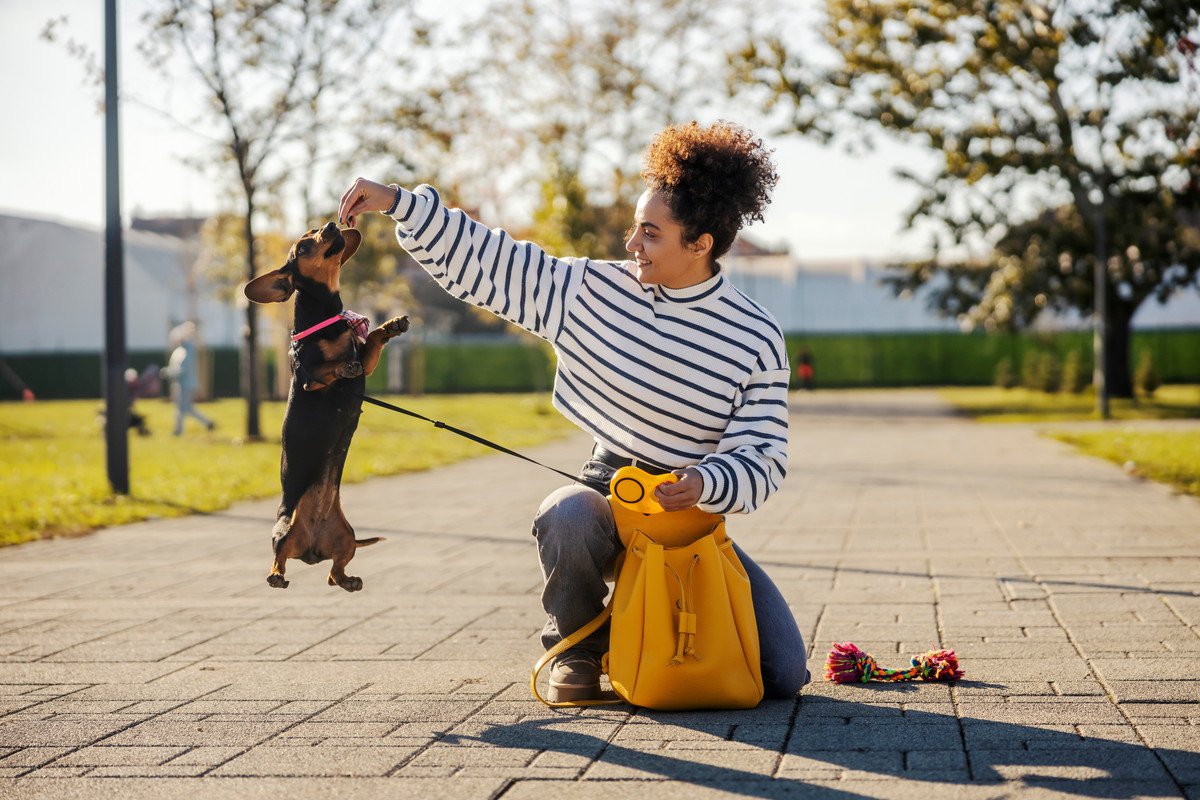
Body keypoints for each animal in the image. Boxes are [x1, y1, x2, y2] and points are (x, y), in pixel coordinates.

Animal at [242, 221, 408, 592]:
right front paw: (344, 366)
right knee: (279, 559)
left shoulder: (367, 359)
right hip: (285, 527)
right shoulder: (309, 377)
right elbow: (326, 367)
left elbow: (370, 343)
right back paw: (276, 576)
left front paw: (390, 326)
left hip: (346, 538)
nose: (333, 224)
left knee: (334, 575)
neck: (329, 318)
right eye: (303, 247)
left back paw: (349, 581)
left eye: (317, 229)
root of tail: (311, 550)